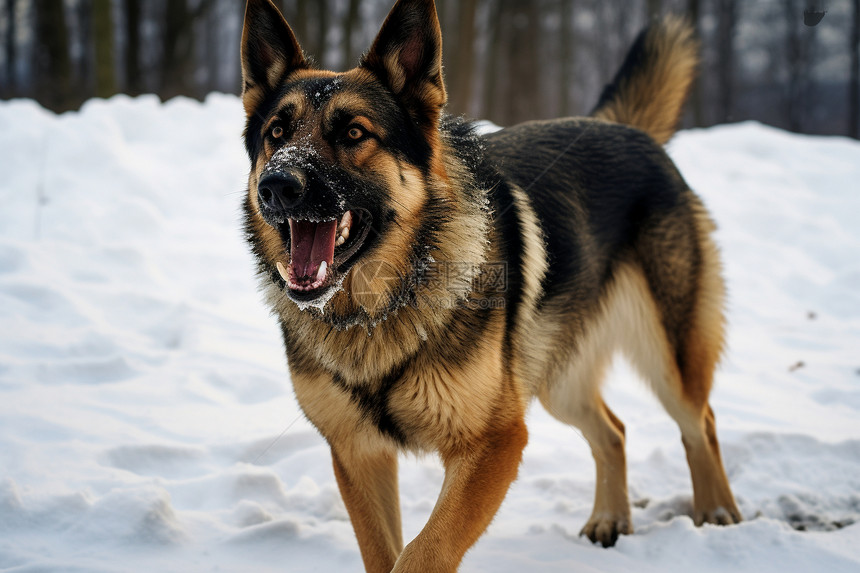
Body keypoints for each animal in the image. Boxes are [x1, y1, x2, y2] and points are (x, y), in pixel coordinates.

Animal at [239, 1, 744, 568]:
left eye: (353, 134)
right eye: (277, 133)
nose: (276, 186)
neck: (379, 309)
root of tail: (622, 129)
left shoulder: (495, 441)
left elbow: (422, 552)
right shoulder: (359, 455)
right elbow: (384, 553)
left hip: (667, 359)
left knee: (701, 425)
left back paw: (718, 515)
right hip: (556, 381)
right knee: (614, 432)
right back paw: (611, 518)